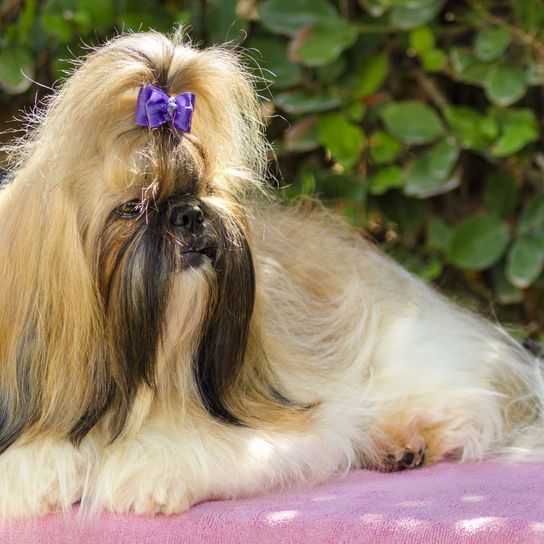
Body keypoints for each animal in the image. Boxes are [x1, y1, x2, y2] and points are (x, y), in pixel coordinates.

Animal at [0, 30, 540, 520]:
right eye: (133, 206)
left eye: (206, 187)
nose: (190, 213)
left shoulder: (288, 422)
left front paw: (146, 465)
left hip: (407, 344)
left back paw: (406, 437)